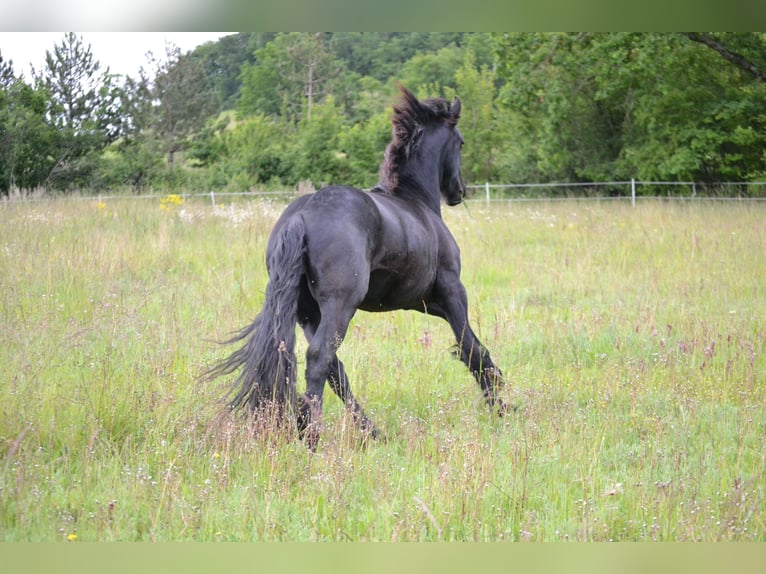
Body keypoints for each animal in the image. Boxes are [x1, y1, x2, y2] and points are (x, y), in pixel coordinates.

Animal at [210, 86, 508, 450]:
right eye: (461, 142)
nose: (459, 192)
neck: (417, 201)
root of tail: (301, 215)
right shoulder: (452, 290)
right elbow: (472, 347)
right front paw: (501, 407)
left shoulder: (423, 301)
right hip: (340, 305)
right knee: (320, 359)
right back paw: (311, 436)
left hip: (307, 312)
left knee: (335, 369)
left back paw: (370, 431)